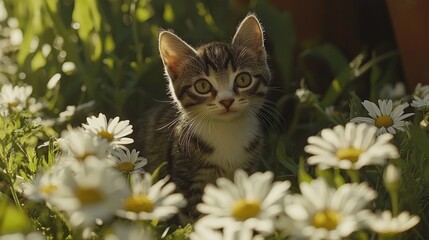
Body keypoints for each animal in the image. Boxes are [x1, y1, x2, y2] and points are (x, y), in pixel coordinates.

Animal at [138, 14, 270, 221]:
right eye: (202, 86)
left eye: (243, 79)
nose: (226, 101)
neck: (227, 131)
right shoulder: (185, 177)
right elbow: (193, 215)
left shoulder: (247, 168)